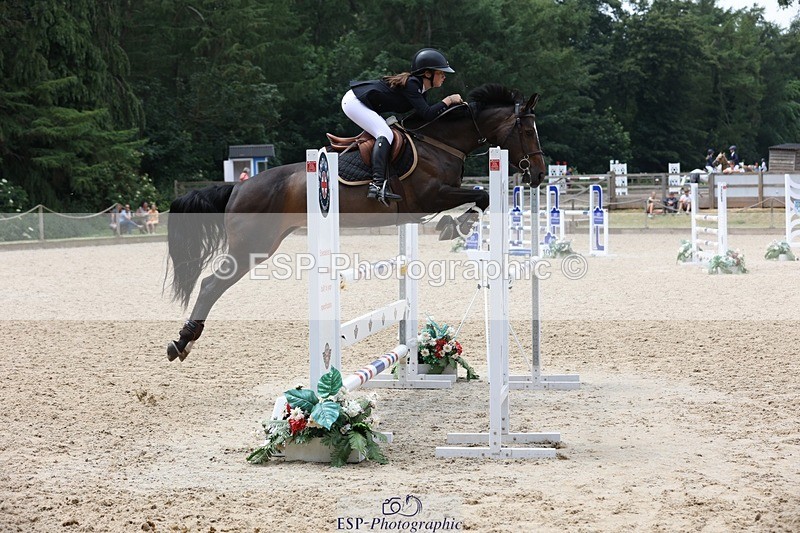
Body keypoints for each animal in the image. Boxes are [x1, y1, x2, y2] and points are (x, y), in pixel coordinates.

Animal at [164, 83, 547, 361]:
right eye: (528, 131)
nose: (540, 175)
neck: (441, 142)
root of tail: (239, 186)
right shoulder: (431, 195)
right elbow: (482, 195)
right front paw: (454, 226)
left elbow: (480, 197)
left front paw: (454, 226)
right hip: (250, 247)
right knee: (210, 285)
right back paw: (182, 342)